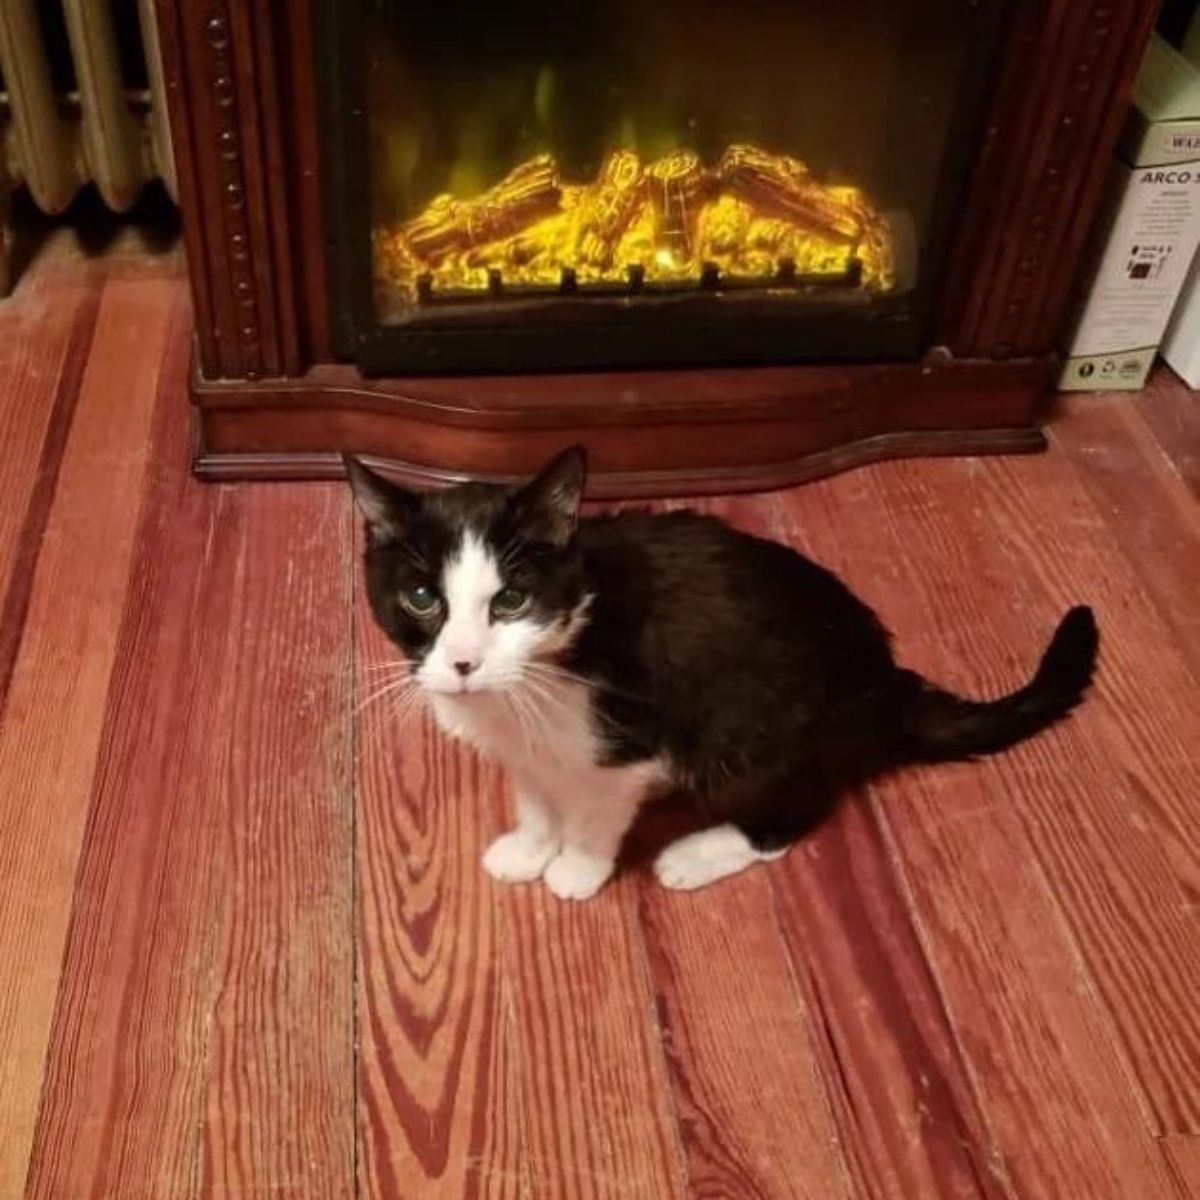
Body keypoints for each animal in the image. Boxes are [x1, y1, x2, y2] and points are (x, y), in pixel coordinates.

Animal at [345, 446, 1099, 897]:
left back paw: (697, 852)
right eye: (421, 598)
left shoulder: (633, 733)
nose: (464, 662)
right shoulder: (523, 743)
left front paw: (577, 867)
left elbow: (598, 807)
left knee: (794, 809)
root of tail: (884, 680)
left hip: (756, 733)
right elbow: (535, 791)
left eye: (511, 600)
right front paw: (531, 848)